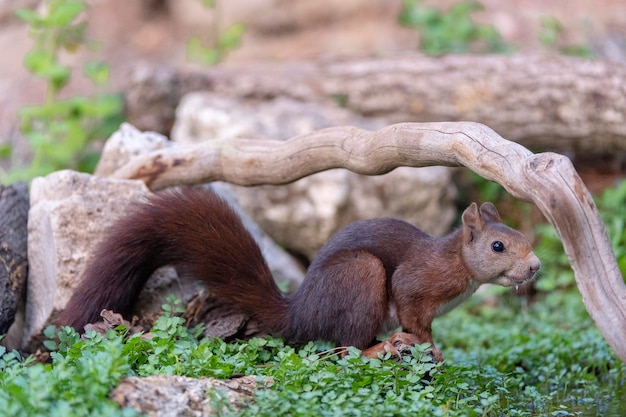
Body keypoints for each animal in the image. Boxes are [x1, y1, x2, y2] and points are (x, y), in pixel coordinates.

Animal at [56, 187, 540, 360]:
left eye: (523, 236)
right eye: (498, 246)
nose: (535, 267)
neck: (457, 264)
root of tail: (301, 312)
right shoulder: (416, 281)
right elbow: (416, 316)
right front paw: (427, 346)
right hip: (362, 275)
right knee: (348, 344)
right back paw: (381, 346)